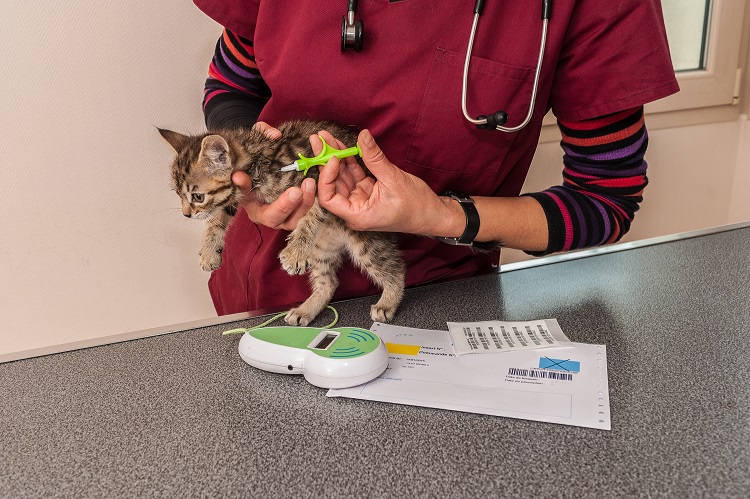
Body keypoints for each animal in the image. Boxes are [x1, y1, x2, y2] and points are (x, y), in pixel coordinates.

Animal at [159, 119, 406, 326]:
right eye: (178, 195)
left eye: (197, 196)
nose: (186, 214)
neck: (258, 158)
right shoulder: (237, 193)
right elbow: (217, 218)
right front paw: (210, 251)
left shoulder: (320, 181)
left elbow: (312, 214)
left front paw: (295, 252)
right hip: (321, 247)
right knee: (328, 283)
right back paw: (305, 310)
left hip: (364, 238)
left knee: (396, 267)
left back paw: (387, 303)